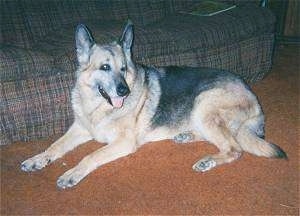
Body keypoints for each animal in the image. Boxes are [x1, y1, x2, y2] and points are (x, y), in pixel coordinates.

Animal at [20, 21, 286, 188]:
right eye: (104, 67)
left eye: (124, 69)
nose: (124, 91)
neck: (98, 106)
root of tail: (253, 98)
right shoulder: (80, 129)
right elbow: (55, 146)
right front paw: (38, 159)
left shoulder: (123, 143)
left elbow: (89, 156)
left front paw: (72, 173)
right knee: (223, 139)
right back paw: (186, 136)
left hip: (204, 103)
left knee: (234, 148)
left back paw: (208, 160)